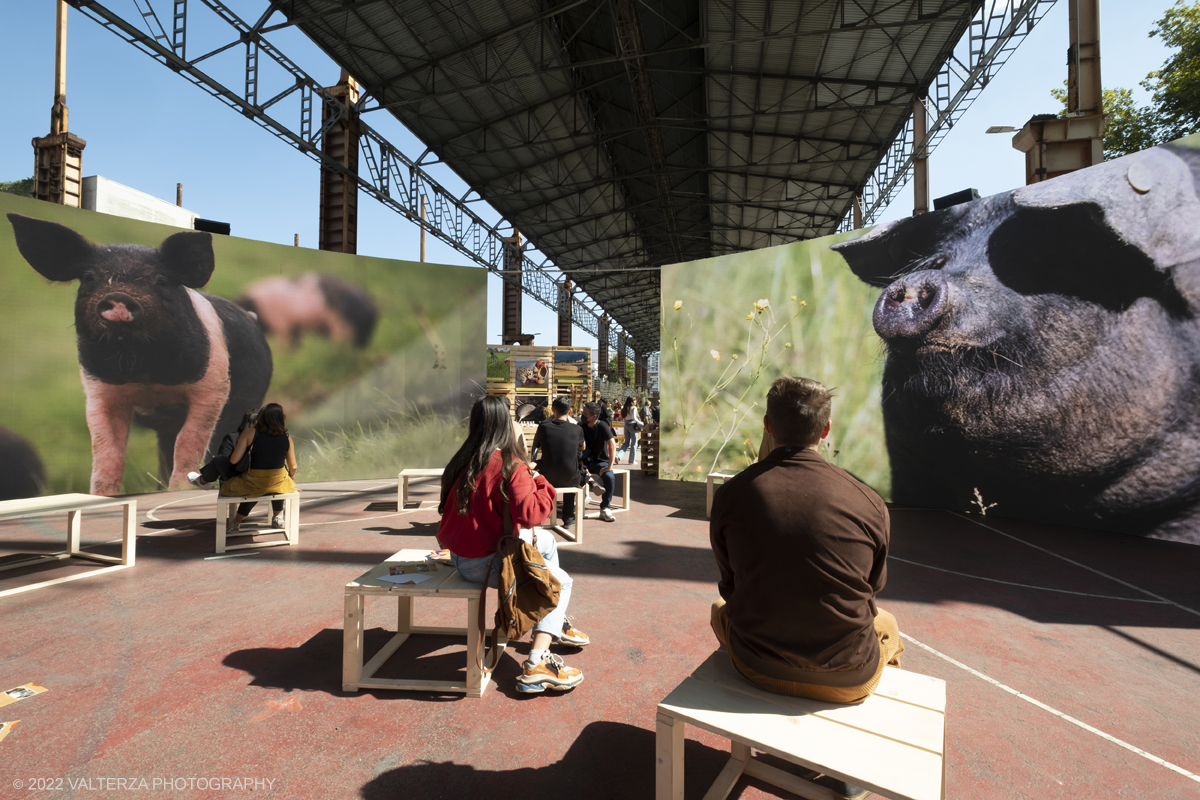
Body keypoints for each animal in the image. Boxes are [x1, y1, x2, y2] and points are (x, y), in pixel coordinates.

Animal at [8, 212, 274, 494]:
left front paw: (180, 489)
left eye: (160, 280)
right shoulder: (98, 392)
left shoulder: (213, 389)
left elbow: (189, 442)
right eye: (89, 277)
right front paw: (103, 494)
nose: (119, 297)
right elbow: (107, 452)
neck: (144, 374)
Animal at [237, 273, 376, 347]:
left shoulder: (283, 326)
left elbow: (286, 345)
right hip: (361, 333)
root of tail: (372, 304)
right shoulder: (294, 327)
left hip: (342, 326)